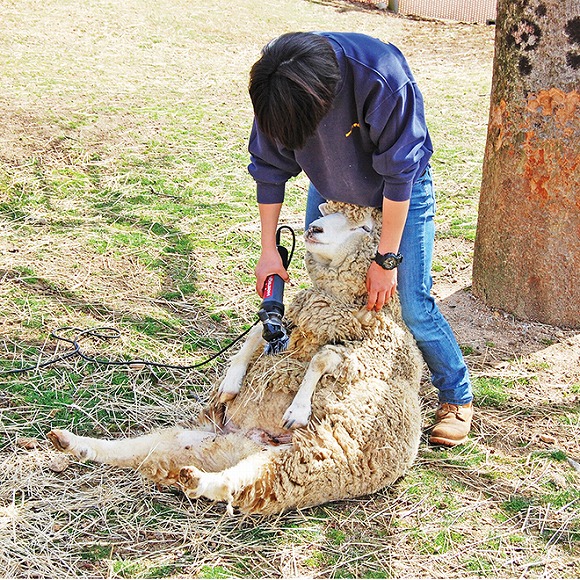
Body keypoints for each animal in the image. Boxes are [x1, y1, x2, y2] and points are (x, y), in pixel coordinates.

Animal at [47, 202, 424, 516]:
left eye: (364, 227)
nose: (314, 228)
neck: (335, 304)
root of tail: (247, 441)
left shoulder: (367, 353)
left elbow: (322, 357)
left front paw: (297, 409)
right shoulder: (286, 321)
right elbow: (255, 335)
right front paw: (230, 382)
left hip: (306, 462)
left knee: (237, 483)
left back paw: (198, 480)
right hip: (197, 439)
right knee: (135, 451)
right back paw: (74, 444)